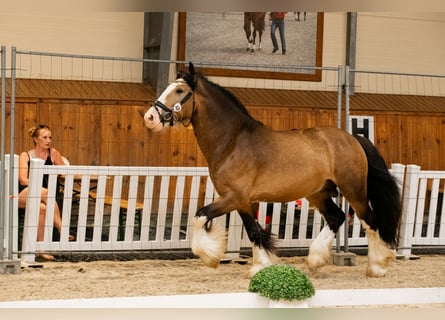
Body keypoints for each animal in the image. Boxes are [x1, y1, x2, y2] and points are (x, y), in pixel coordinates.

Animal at [144, 62, 400, 278]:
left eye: (179, 91)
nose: (150, 117)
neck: (232, 142)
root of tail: (353, 138)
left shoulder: (234, 197)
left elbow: (200, 216)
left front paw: (211, 256)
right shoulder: (243, 201)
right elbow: (254, 232)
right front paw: (260, 267)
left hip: (353, 190)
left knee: (370, 220)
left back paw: (376, 267)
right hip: (318, 193)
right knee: (336, 217)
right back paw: (315, 260)